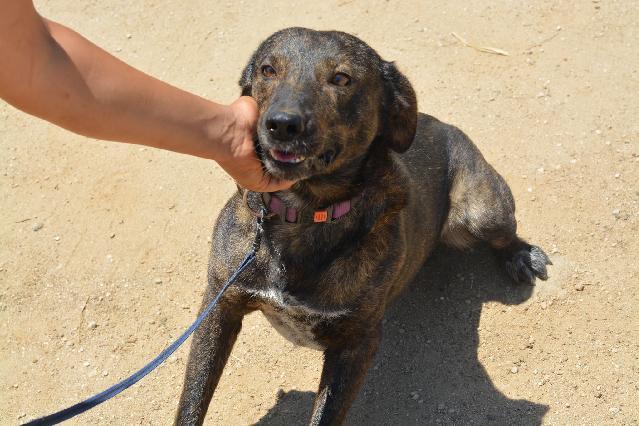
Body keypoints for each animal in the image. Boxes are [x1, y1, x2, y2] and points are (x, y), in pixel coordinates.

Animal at [175, 28, 552, 424]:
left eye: (342, 78)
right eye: (267, 70)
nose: (282, 124)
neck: (304, 213)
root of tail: (441, 124)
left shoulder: (357, 343)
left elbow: (325, 414)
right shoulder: (219, 306)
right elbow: (192, 401)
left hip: (482, 211)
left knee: (504, 233)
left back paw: (522, 255)